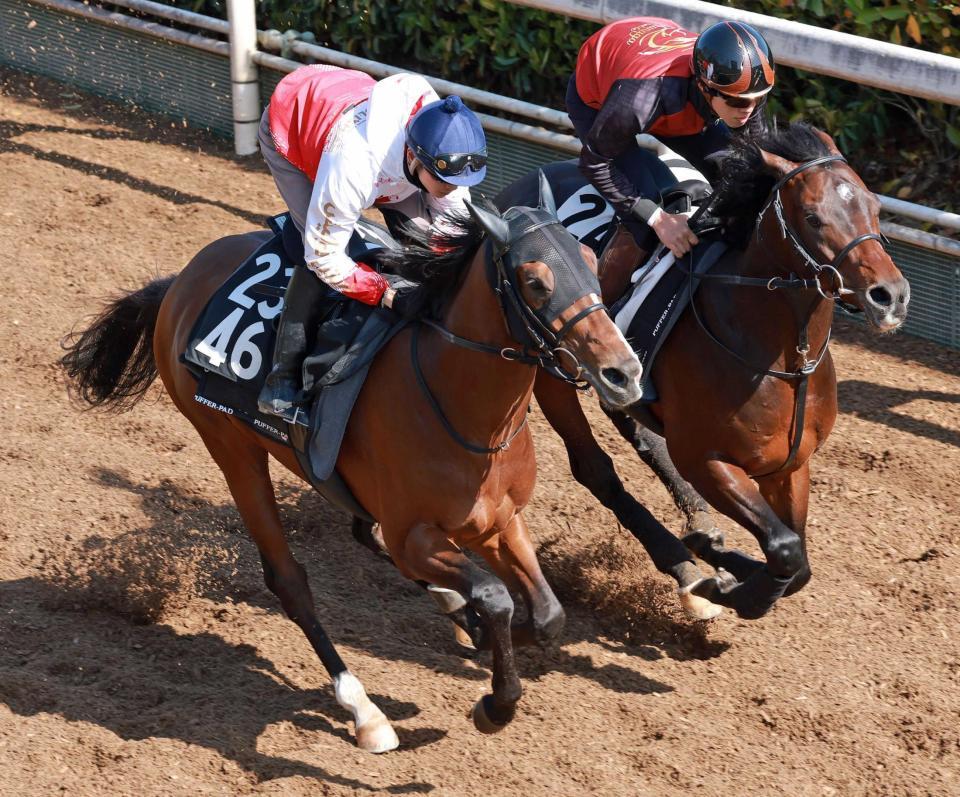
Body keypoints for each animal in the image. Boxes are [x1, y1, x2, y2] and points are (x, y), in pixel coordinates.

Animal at [62, 176, 644, 752]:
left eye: (592, 260)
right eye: (534, 281)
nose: (625, 373)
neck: (465, 412)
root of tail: (180, 281)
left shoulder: (500, 521)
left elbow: (548, 615)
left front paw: (476, 628)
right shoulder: (416, 536)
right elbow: (495, 597)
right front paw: (494, 702)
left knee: (366, 534)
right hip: (230, 446)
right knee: (290, 580)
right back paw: (365, 711)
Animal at [498, 124, 912, 620]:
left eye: (874, 207)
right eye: (813, 218)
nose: (891, 296)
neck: (778, 359)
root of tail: (513, 197)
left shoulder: (791, 464)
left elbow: (799, 563)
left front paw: (718, 552)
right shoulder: (706, 459)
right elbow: (786, 550)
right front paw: (724, 584)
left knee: (638, 430)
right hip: (552, 377)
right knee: (594, 469)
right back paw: (684, 569)